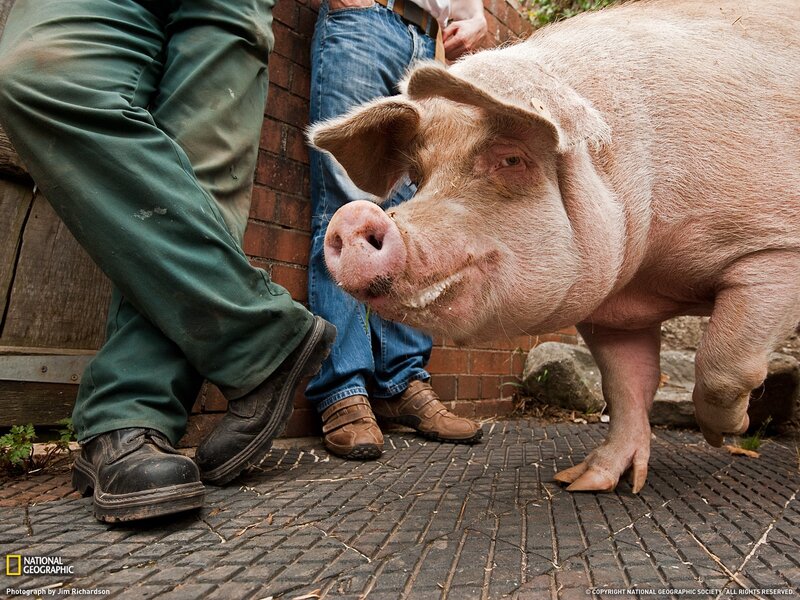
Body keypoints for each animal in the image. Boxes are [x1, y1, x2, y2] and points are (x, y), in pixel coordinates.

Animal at [308, 0, 800, 493]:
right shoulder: (613, 309)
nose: (354, 216)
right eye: (416, 177)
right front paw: (583, 483)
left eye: (511, 159)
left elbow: (723, 362)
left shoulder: (775, 248)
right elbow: (626, 385)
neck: (653, 276)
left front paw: (727, 434)